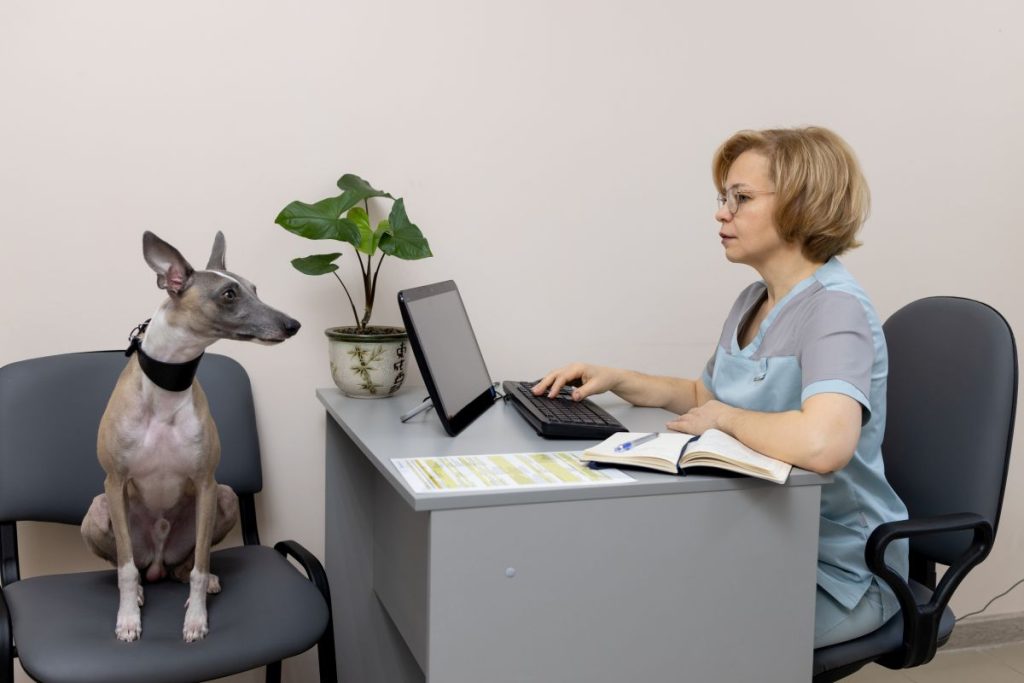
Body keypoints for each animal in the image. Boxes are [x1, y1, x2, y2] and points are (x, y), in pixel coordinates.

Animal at [81, 232, 299, 643]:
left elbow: (198, 566)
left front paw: (196, 619)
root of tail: (158, 563)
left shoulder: (206, 483)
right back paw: (138, 593)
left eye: (255, 288)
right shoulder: (114, 482)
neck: (166, 388)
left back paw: (205, 579)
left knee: (188, 567)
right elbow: (125, 570)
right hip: (99, 511)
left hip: (221, 501)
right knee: (133, 568)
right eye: (229, 294)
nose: (293, 324)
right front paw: (128, 619)